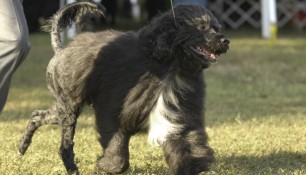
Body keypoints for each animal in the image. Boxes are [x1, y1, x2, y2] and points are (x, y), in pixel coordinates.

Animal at [17, 0, 228, 174]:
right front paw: (106, 166)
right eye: (200, 27)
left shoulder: (180, 111)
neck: (169, 64)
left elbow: (186, 141)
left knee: (37, 115)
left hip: (65, 106)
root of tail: (61, 50)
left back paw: (22, 147)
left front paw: (193, 166)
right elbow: (116, 145)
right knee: (64, 144)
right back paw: (71, 168)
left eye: (216, 27)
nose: (225, 40)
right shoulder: (112, 107)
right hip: (69, 107)